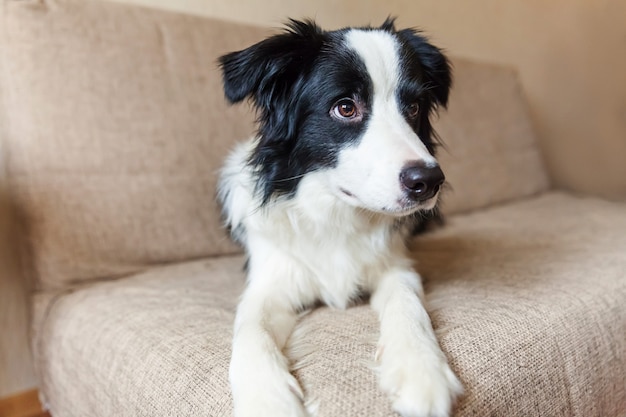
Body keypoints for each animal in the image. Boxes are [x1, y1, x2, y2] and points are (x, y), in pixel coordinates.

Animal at [217, 17, 460, 416]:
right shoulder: (272, 279)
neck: (335, 212)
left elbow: (408, 305)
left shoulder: (395, 265)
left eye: (413, 107)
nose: (428, 181)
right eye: (345, 108)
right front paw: (268, 399)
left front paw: (422, 371)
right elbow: (249, 328)